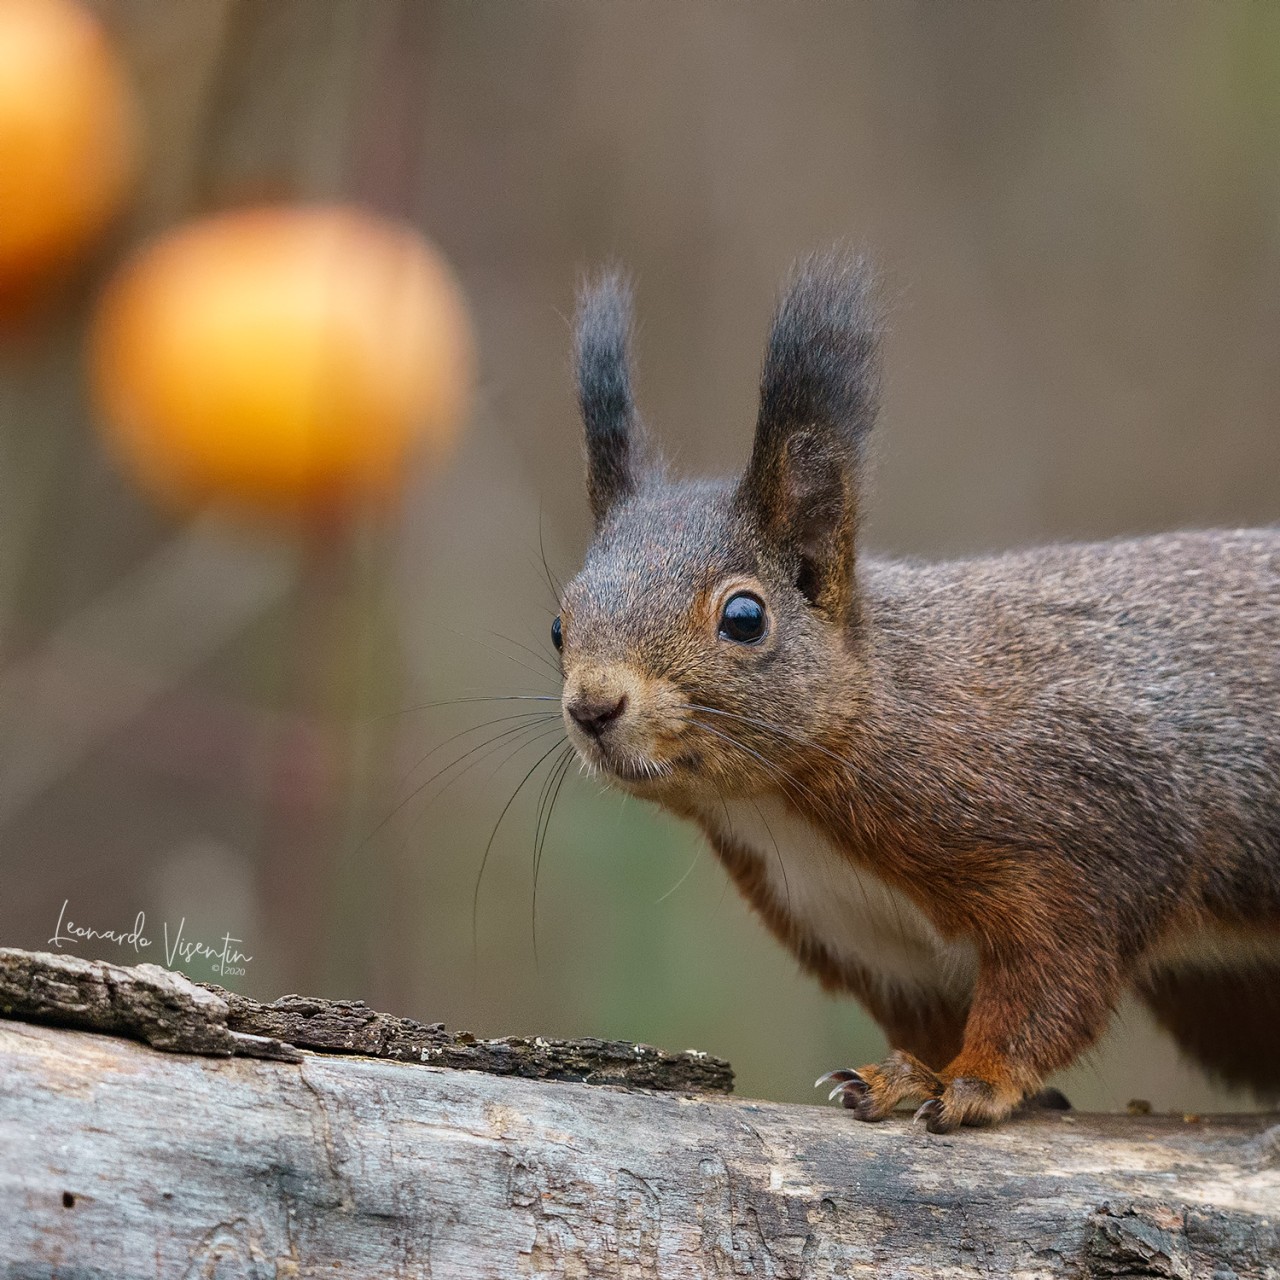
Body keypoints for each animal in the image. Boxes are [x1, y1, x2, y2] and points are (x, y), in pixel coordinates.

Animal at [552, 250, 1280, 1133]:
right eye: (558, 626)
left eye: (744, 617)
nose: (593, 706)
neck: (778, 802)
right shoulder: (874, 945)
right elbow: (930, 1018)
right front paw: (904, 1075)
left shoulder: (1087, 834)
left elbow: (1052, 981)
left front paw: (975, 1081)